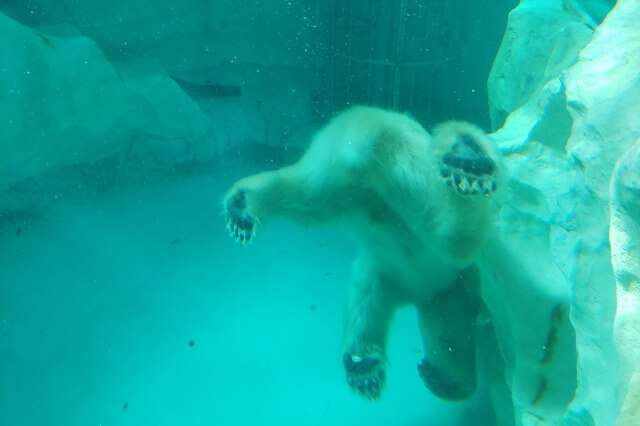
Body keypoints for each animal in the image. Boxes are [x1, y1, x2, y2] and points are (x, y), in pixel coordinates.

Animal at [222, 105, 502, 400]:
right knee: (454, 238)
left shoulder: (445, 294)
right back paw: (469, 160)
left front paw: (440, 377)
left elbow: (449, 337)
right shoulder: (447, 289)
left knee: (309, 196)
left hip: (357, 191)